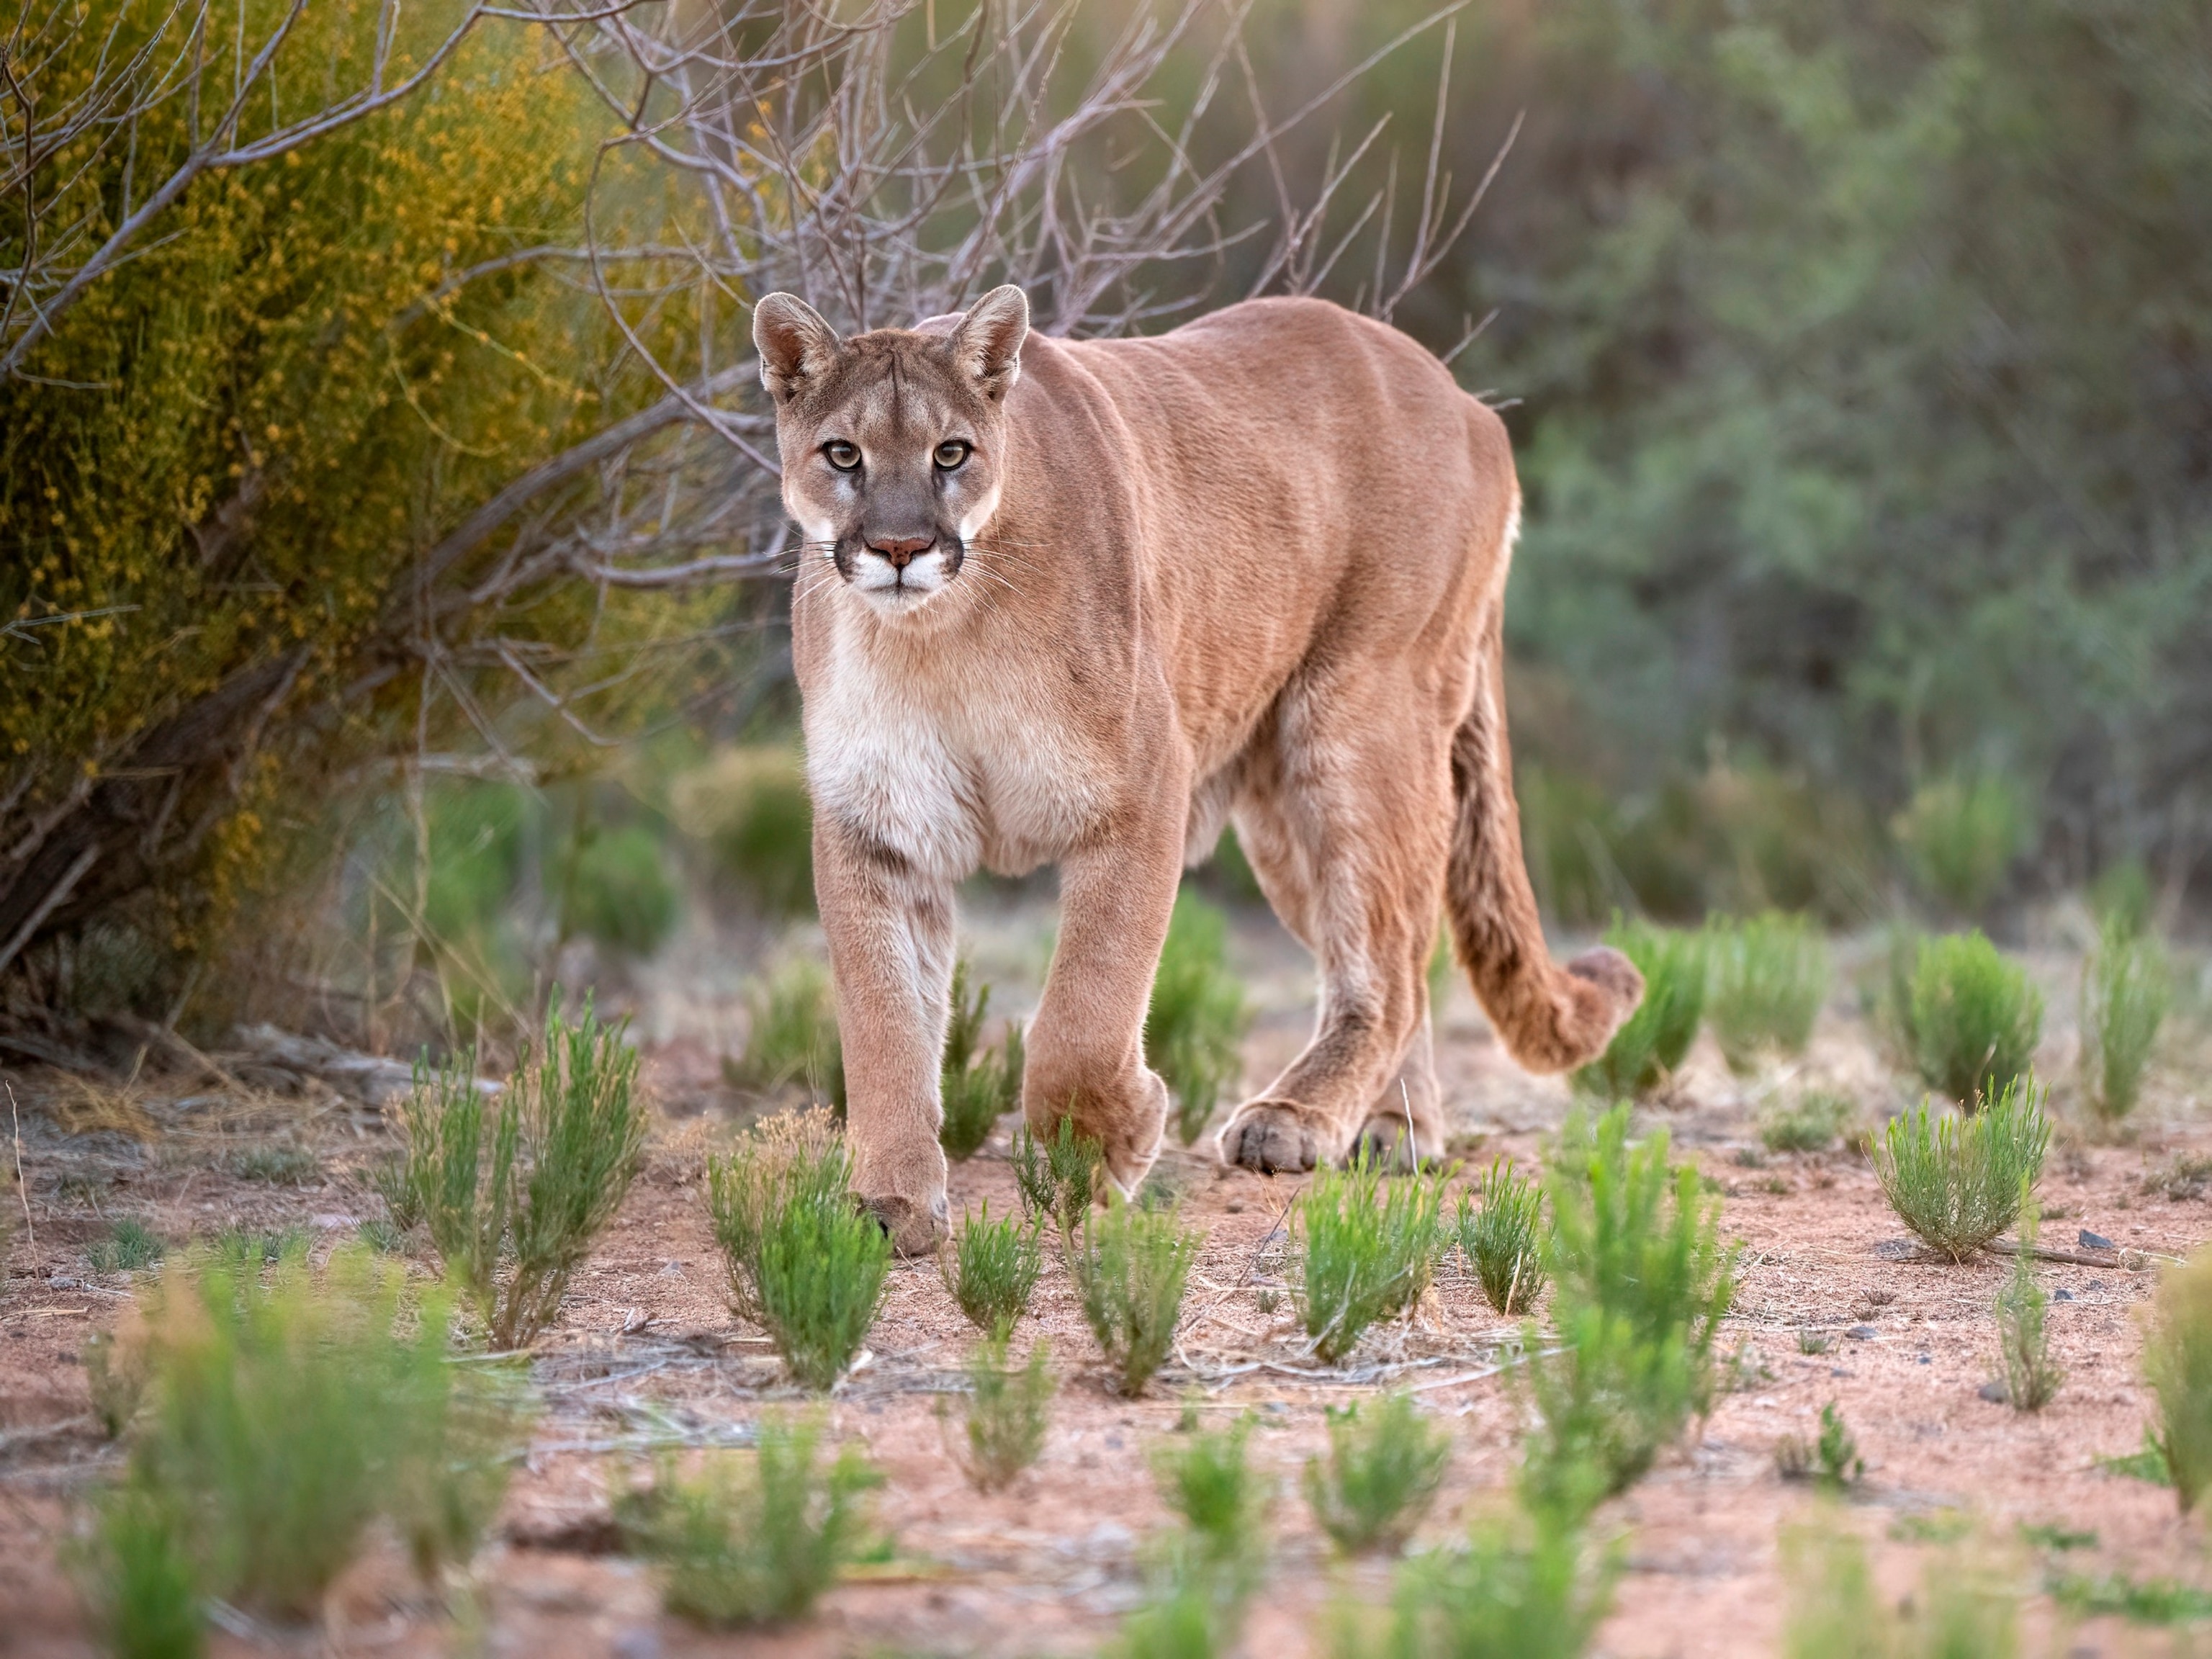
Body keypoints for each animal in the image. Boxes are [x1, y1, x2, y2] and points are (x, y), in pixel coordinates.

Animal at [760, 285, 1645, 1256]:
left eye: (950, 453)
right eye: (843, 454)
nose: (899, 548)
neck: (938, 636)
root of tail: (1465, 399)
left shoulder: (1143, 790)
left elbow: (1084, 1012)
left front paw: (1106, 1148)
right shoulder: (876, 827)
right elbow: (883, 1023)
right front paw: (889, 1205)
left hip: (1358, 723)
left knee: (1390, 965)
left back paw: (1294, 1120)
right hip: (1284, 820)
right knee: (1400, 953)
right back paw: (1391, 1131)